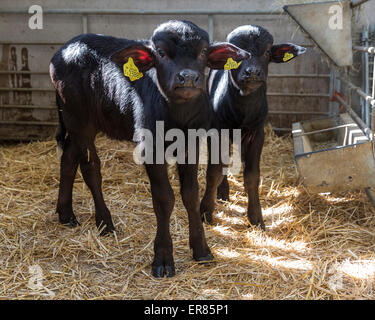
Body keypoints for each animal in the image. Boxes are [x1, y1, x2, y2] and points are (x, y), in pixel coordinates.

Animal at [50, 20, 250, 276]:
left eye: (203, 51)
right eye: (161, 53)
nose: (188, 77)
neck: (178, 117)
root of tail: (63, 50)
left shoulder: (192, 146)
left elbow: (190, 195)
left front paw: (201, 249)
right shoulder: (151, 150)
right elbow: (164, 198)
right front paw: (163, 258)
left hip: (80, 125)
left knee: (68, 158)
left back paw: (66, 213)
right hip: (79, 121)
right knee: (90, 168)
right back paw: (104, 221)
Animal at [201, 25, 306, 230]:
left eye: (267, 52)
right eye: (237, 55)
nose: (253, 72)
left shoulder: (257, 135)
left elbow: (252, 176)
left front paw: (256, 218)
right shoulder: (217, 132)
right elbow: (214, 172)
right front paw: (206, 212)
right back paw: (222, 191)